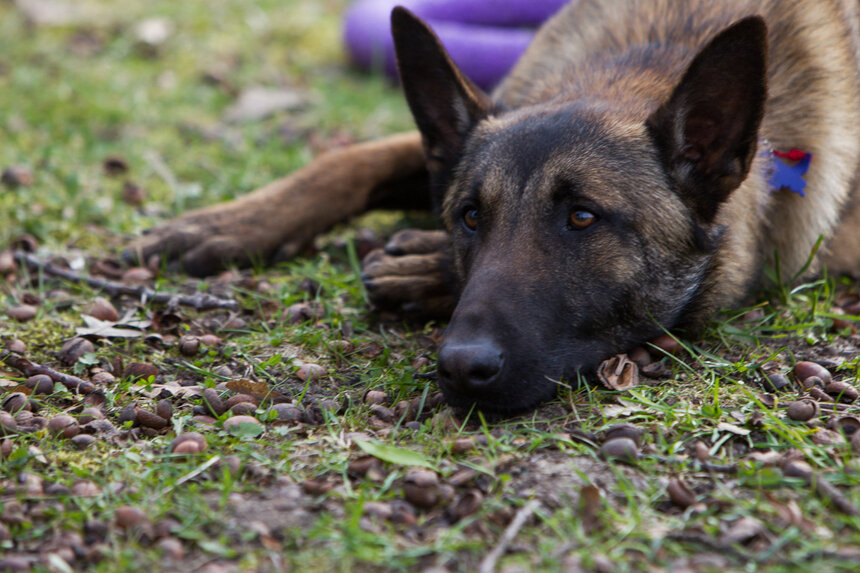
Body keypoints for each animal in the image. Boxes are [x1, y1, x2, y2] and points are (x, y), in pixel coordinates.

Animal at [126, 0, 860, 412]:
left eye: (583, 217)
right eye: (470, 216)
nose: (460, 368)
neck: (641, 61)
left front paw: (421, 268)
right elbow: (345, 161)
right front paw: (224, 223)